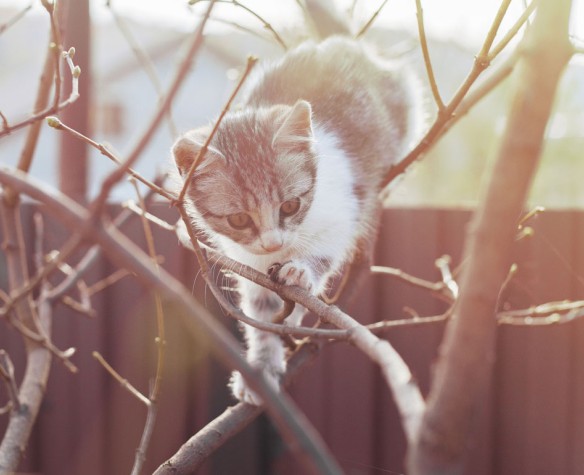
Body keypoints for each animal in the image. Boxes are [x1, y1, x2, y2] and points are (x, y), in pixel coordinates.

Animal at [171, 32, 422, 402]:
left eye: (290, 206)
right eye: (239, 220)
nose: (273, 243)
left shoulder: (343, 211)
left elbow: (324, 252)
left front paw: (300, 273)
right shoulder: (247, 263)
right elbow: (261, 312)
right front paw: (262, 366)